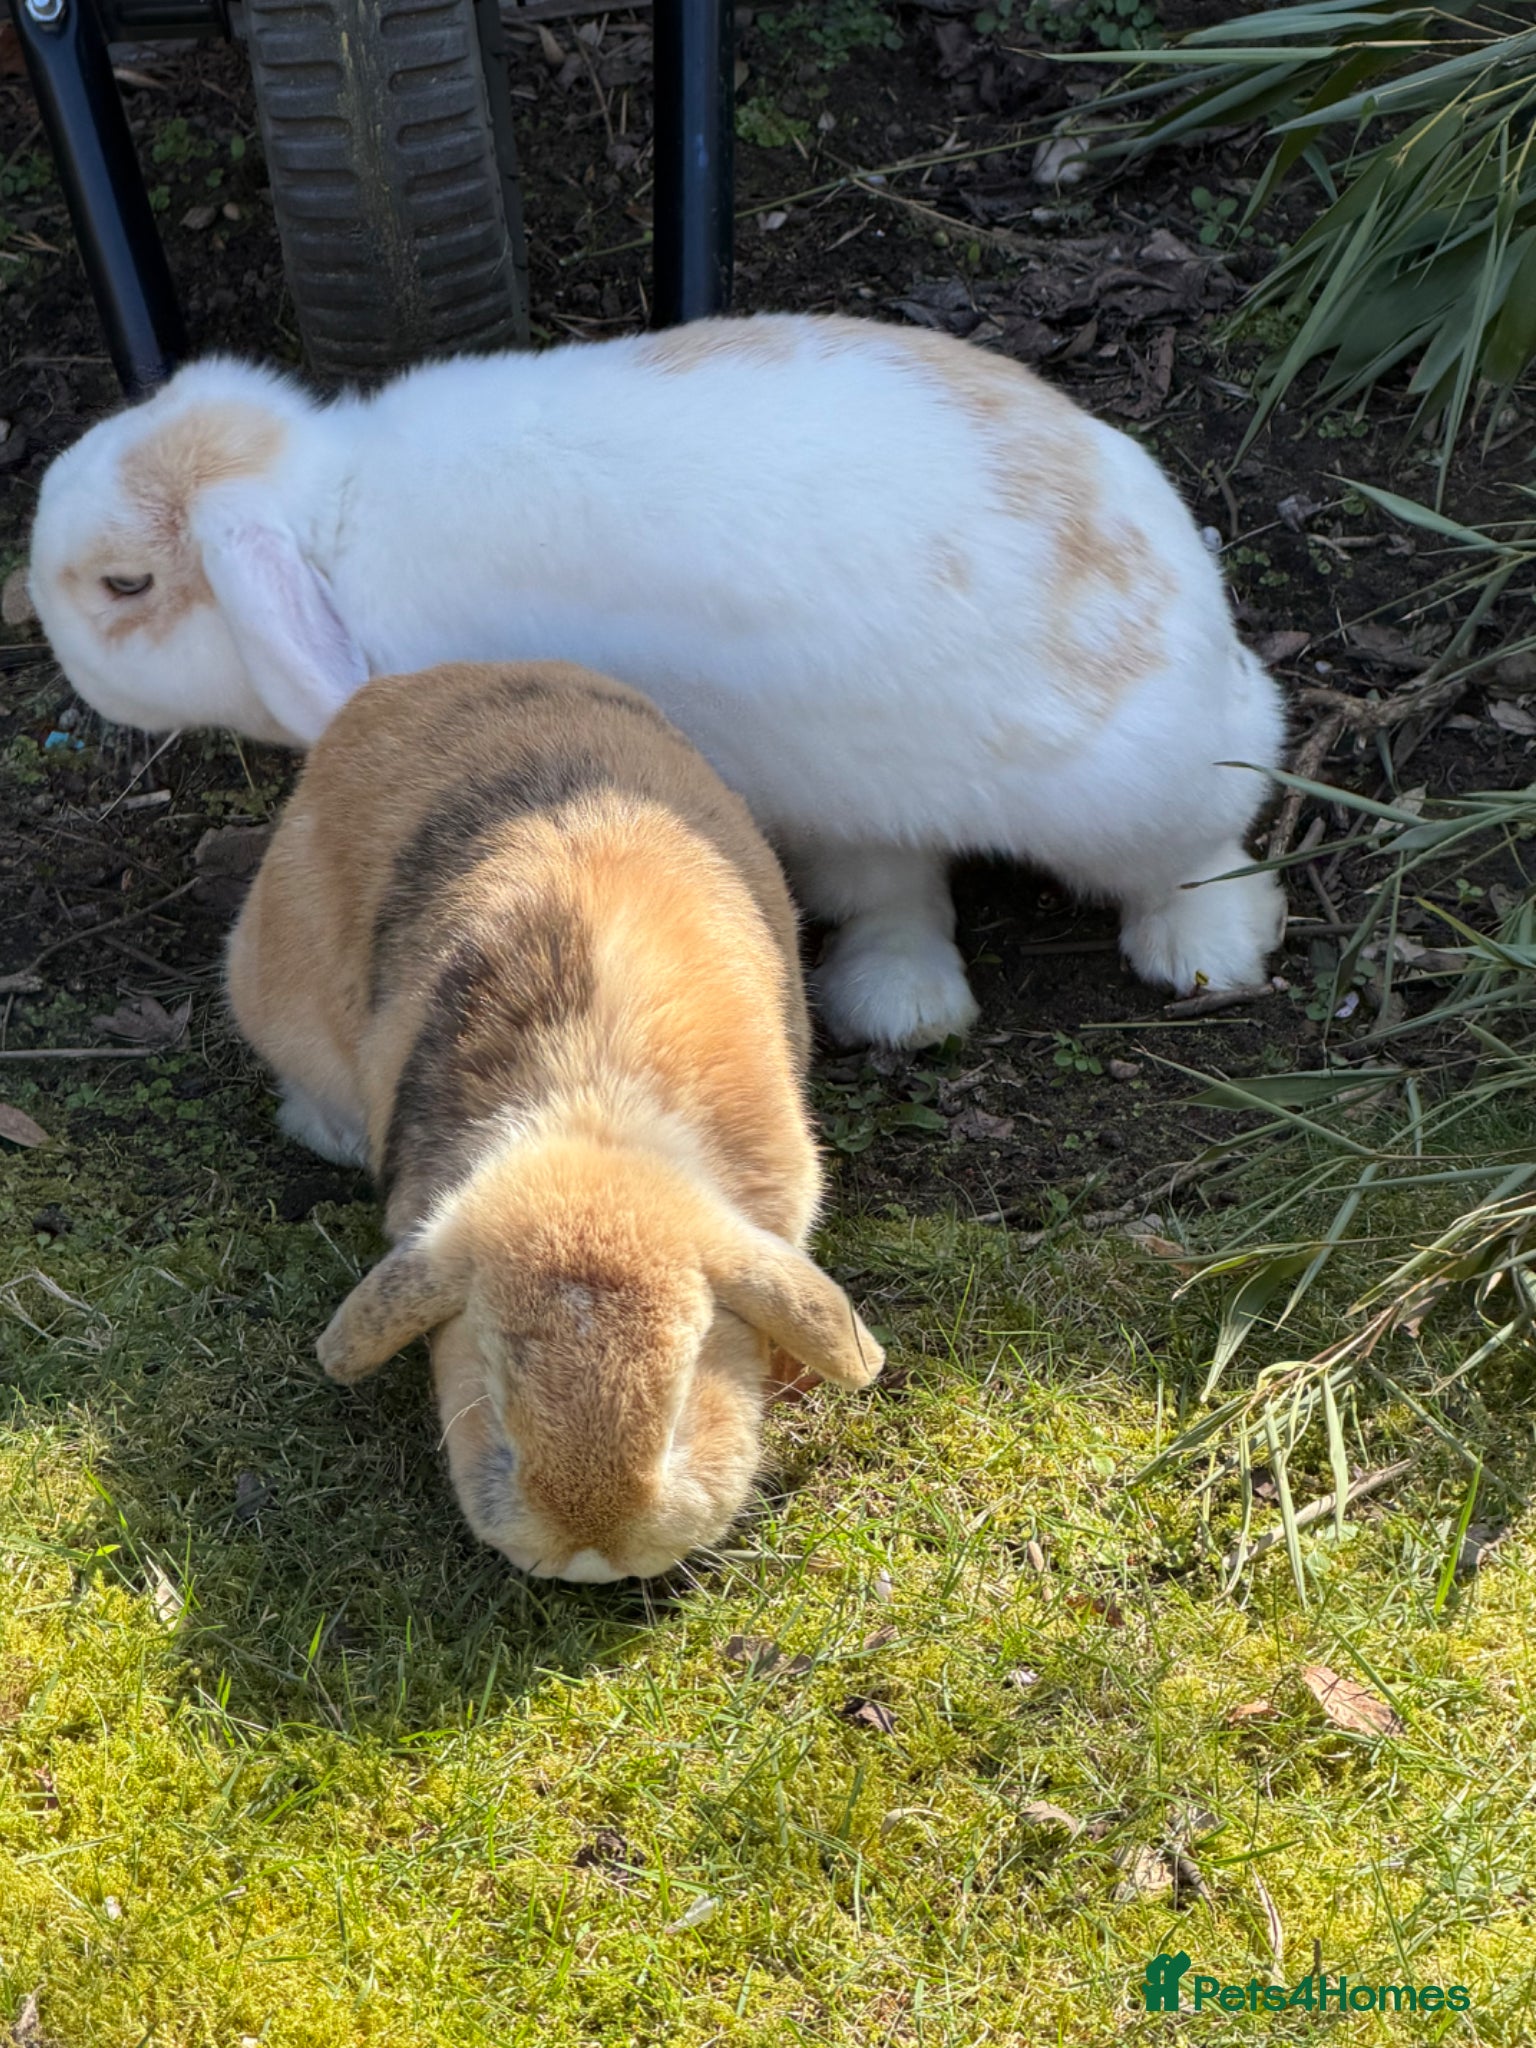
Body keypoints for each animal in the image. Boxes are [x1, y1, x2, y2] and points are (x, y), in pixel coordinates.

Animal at [31, 312, 1287, 1049]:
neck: (333, 512)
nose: (33, 603)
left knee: (1197, 850)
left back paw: (1205, 952)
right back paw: (900, 1006)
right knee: (899, 891)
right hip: (852, 807)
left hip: (1136, 791)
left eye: (125, 583)